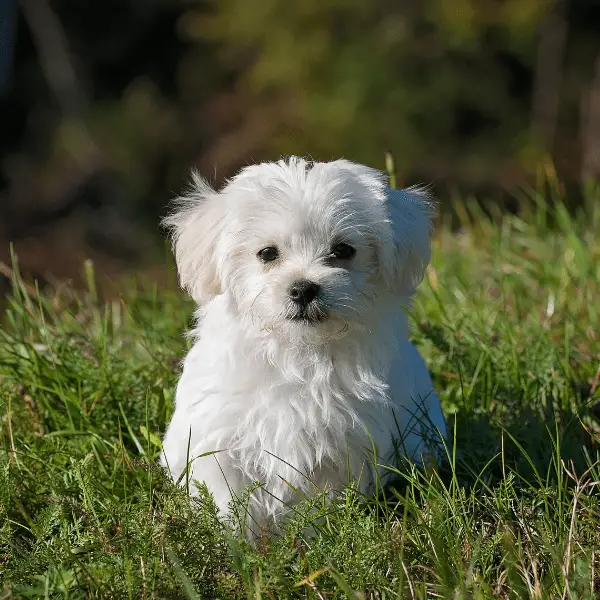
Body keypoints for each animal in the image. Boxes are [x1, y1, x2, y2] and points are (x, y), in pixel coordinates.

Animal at [159, 157, 446, 532]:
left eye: (343, 250)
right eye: (267, 253)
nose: (303, 288)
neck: (298, 352)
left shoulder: (343, 446)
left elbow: (321, 504)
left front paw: (318, 537)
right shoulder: (218, 440)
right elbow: (227, 501)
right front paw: (234, 542)